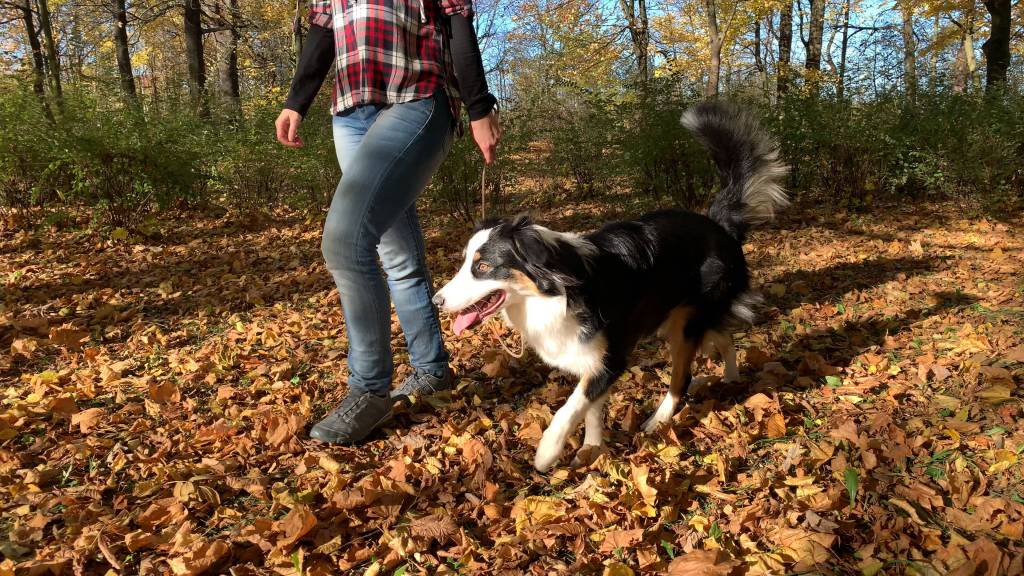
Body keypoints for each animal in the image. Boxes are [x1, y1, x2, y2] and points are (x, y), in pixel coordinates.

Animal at [428, 101, 786, 471]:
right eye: (464, 263)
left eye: (483, 267)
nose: (436, 301)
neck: (557, 290)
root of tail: (720, 225)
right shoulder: (591, 358)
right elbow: (591, 409)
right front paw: (592, 449)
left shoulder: (610, 357)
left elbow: (571, 406)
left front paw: (547, 452)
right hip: (680, 317)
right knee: (724, 336)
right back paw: (730, 377)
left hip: (688, 322)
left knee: (682, 377)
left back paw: (659, 419)